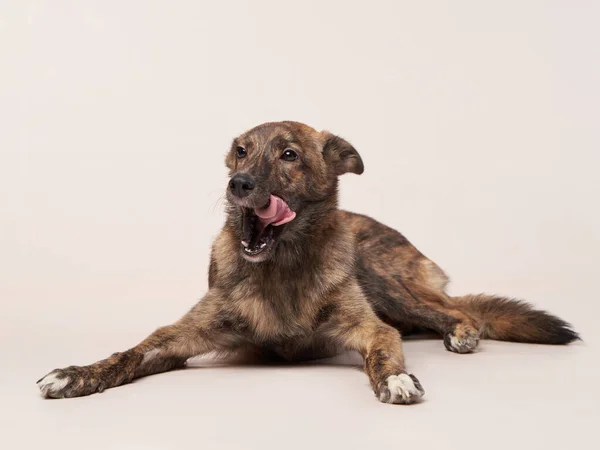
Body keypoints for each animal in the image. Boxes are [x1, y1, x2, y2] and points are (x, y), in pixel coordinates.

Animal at [35, 120, 580, 404]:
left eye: (289, 155)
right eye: (241, 152)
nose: (238, 184)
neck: (280, 268)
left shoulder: (372, 328)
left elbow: (384, 353)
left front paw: (396, 377)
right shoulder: (177, 338)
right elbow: (128, 353)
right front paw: (76, 373)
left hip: (384, 279)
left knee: (461, 311)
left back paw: (462, 332)